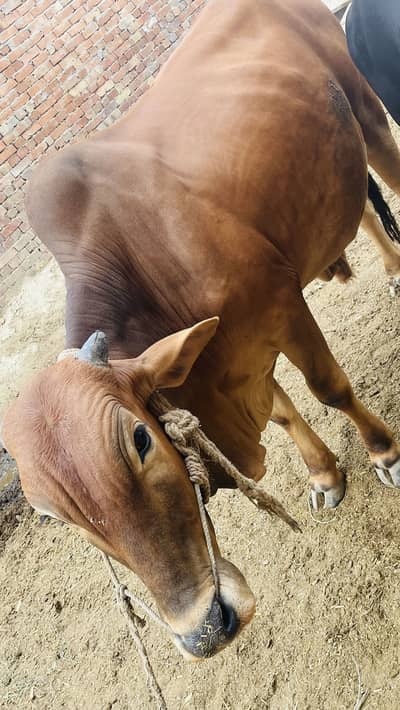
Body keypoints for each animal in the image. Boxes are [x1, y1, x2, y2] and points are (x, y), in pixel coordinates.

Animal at [3, 0, 400, 660]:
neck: (145, 265)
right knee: (364, 207)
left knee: (386, 176)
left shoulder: (280, 304)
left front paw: (384, 453)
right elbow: (284, 412)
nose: (205, 629)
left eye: (141, 440)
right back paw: (393, 271)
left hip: (368, 111)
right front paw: (323, 474)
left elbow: (328, 388)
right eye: (51, 514)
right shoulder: (221, 350)